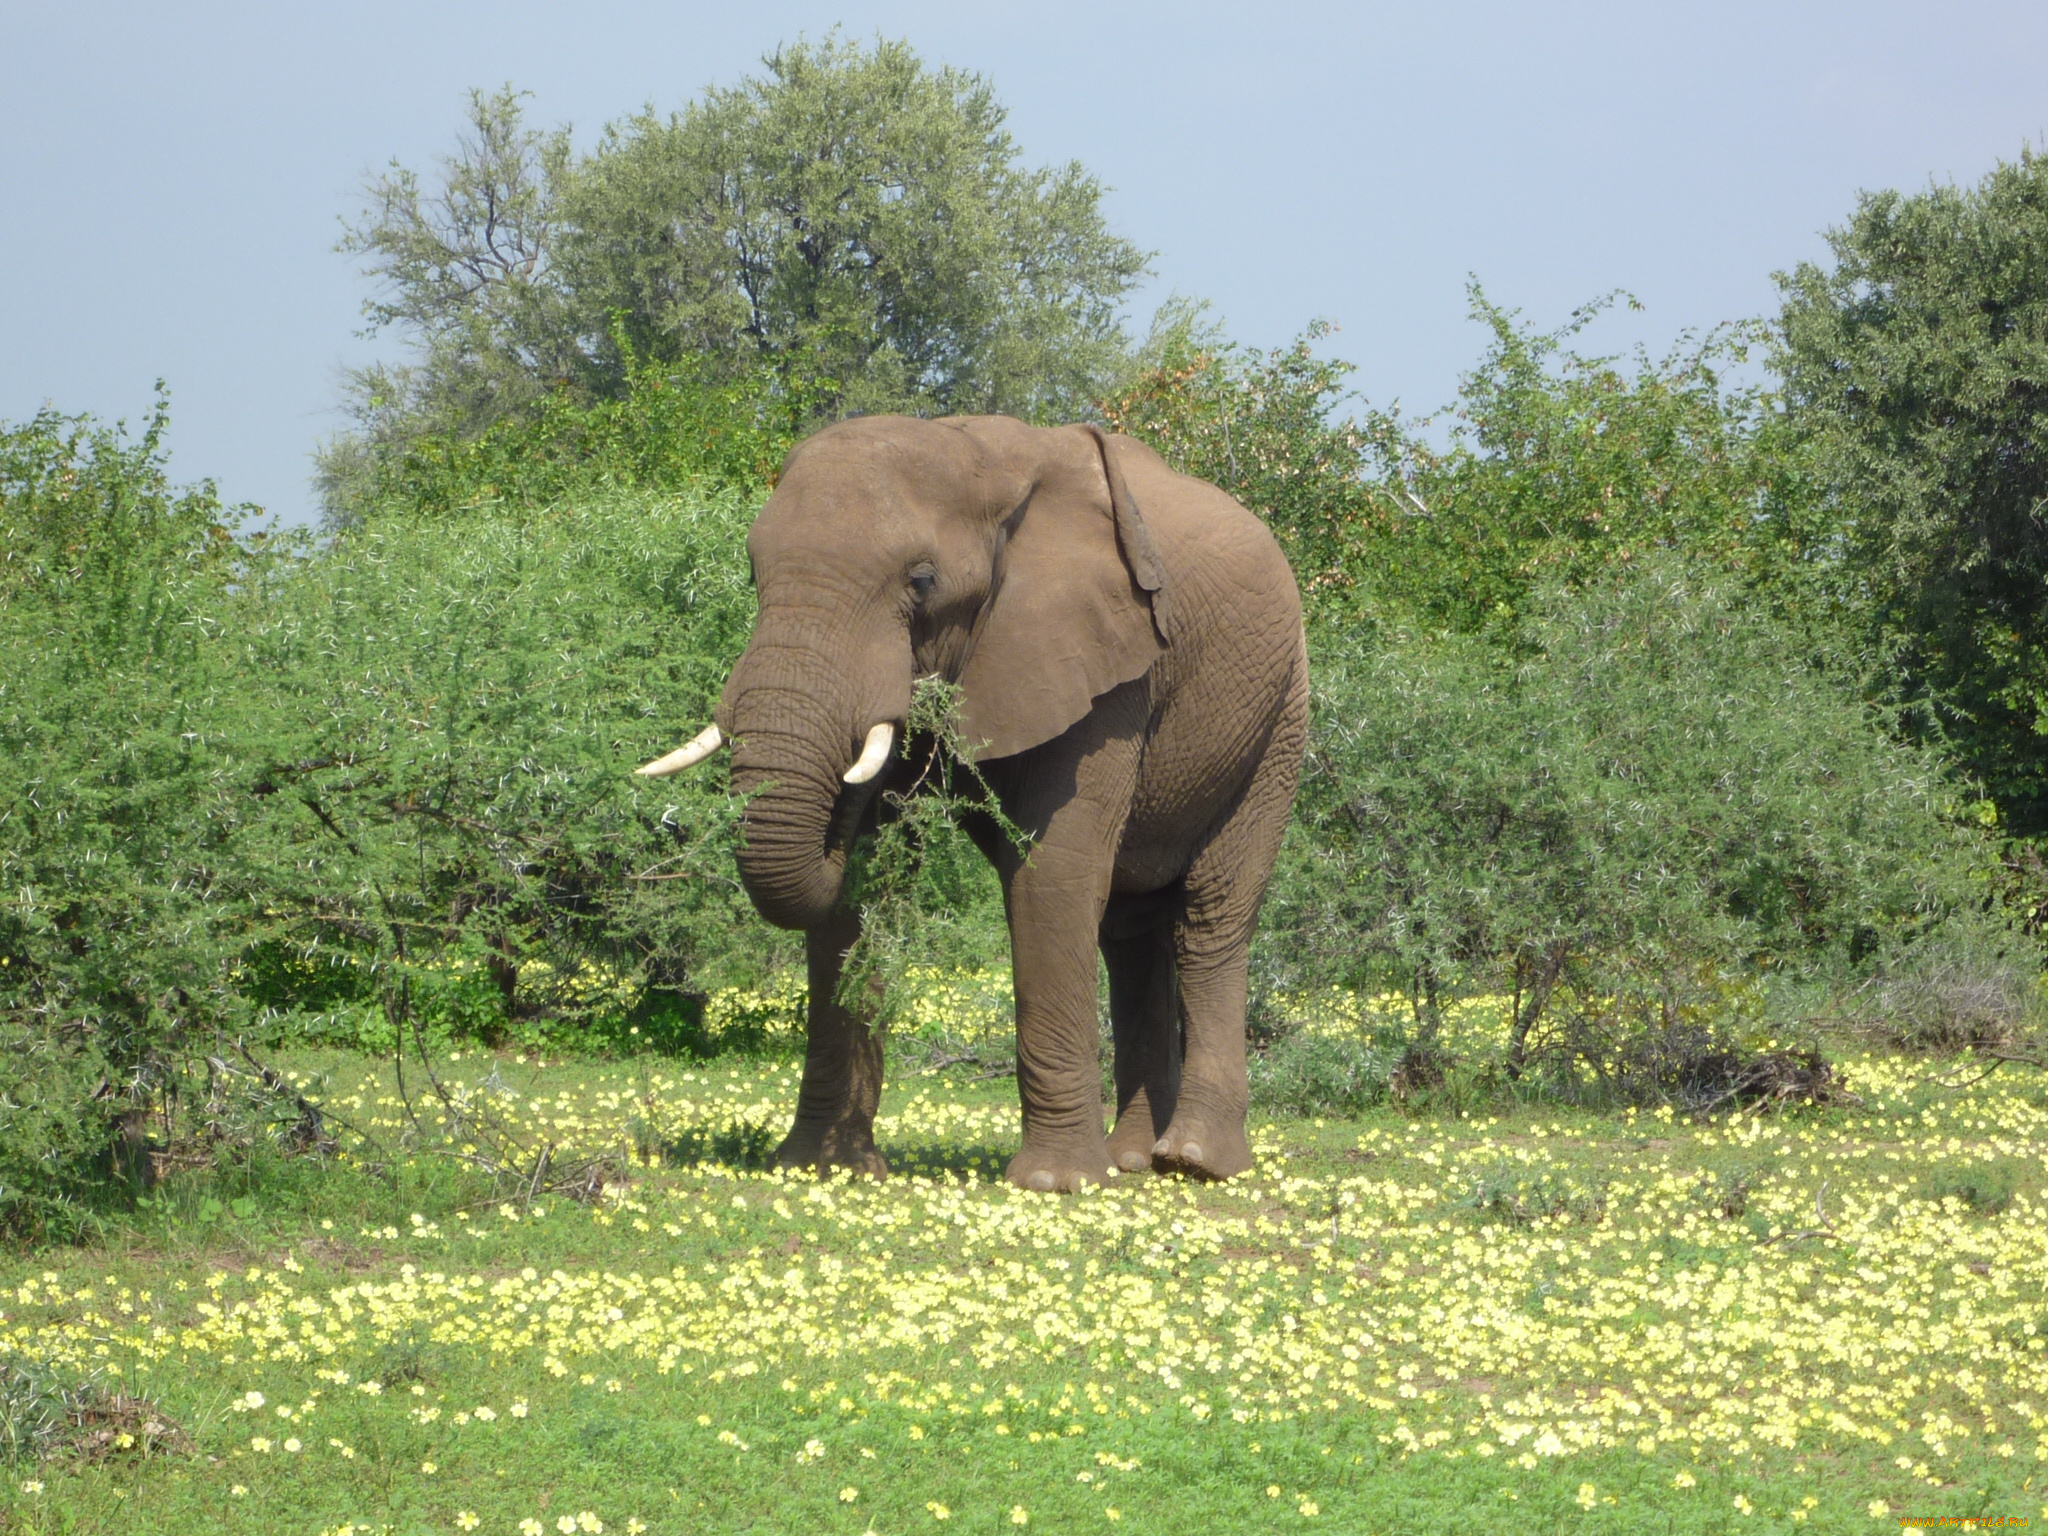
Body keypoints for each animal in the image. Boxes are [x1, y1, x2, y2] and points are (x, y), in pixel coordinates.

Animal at [638, 415, 1302, 1196]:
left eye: (922, 581)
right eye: (752, 572)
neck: (981, 459)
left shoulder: (1103, 669)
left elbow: (1053, 873)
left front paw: (1055, 1184)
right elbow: (859, 898)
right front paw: (825, 1169)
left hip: (1278, 717)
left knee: (1210, 915)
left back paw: (1194, 1163)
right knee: (1132, 930)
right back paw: (1134, 1160)